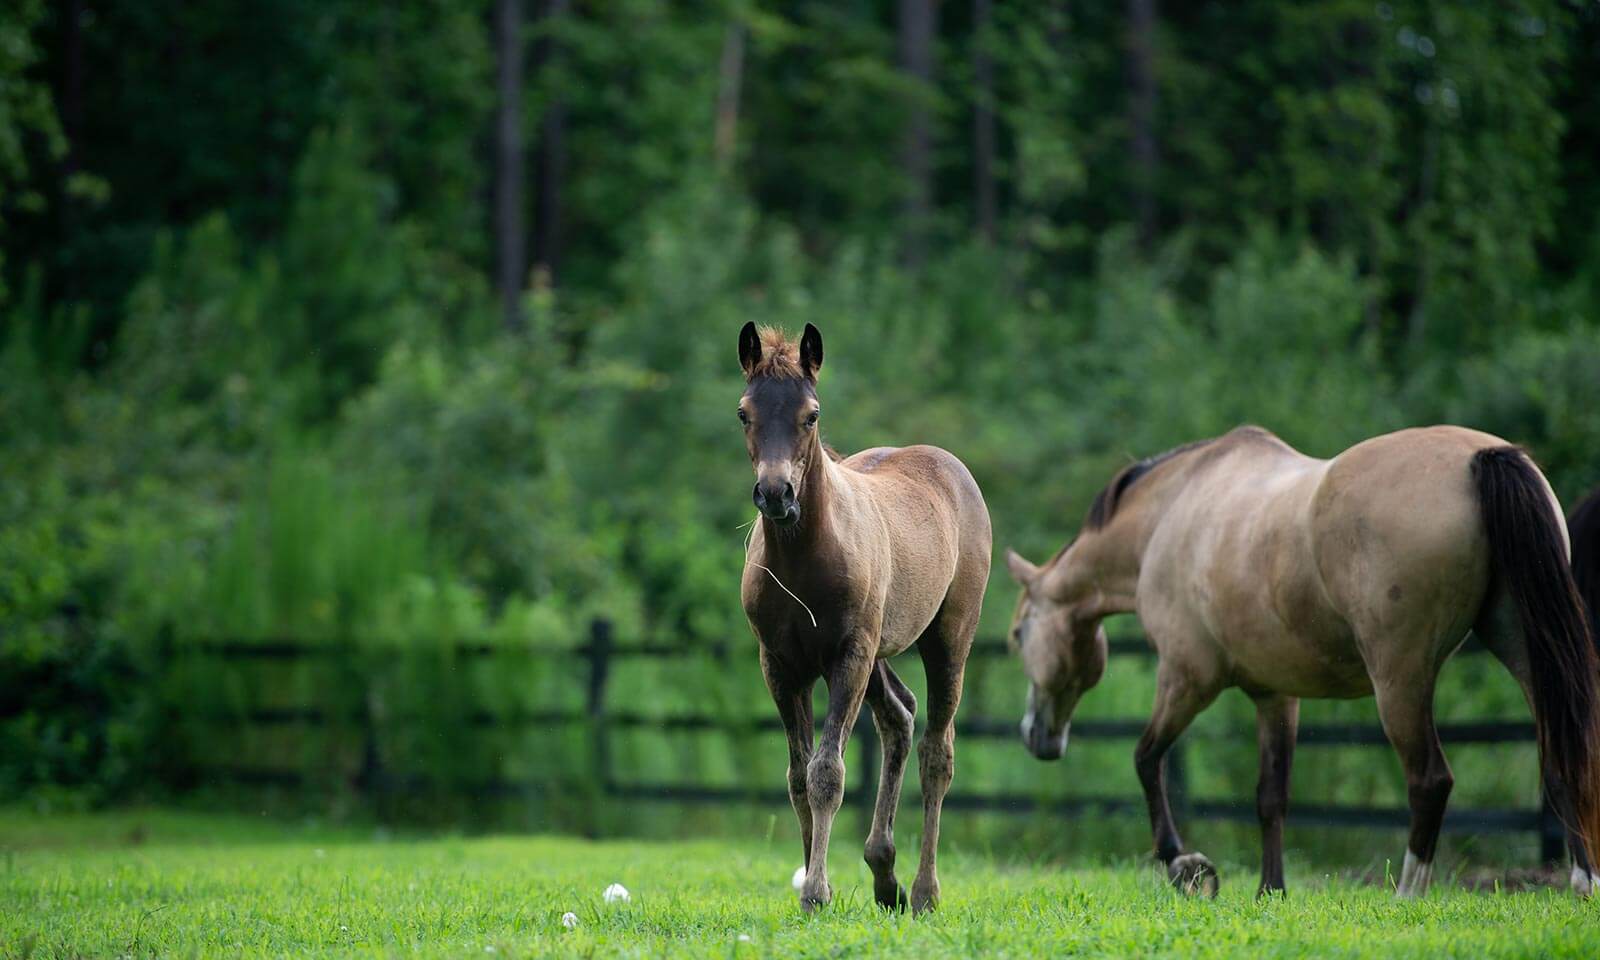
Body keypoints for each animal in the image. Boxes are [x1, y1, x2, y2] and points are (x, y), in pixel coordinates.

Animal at [732, 324, 985, 915]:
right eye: (744, 412)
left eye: (812, 414)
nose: (776, 494)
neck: (804, 559)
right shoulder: (781, 665)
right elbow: (798, 776)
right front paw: (811, 880)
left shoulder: (848, 655)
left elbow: (827, 772)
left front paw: (816, 893)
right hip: (876, 653)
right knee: (899, 716)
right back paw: (884, 875)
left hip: (945, 639)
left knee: (937, 751)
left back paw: (923, 891)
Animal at [1004, 422, 1593, 896]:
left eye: (1017, 634)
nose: (1036, 735)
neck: (1173, 510)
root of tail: (1482, 458)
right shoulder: (1275, 694)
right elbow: (1271, 796)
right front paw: (1271, 891)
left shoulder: (1187, 677)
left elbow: (1147, 759)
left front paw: (1183, 865)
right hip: (1524, 652)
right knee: (1561, 757)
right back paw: (1584, 882)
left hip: (1400, 678)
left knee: (1431, 780)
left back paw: (1408, 894)